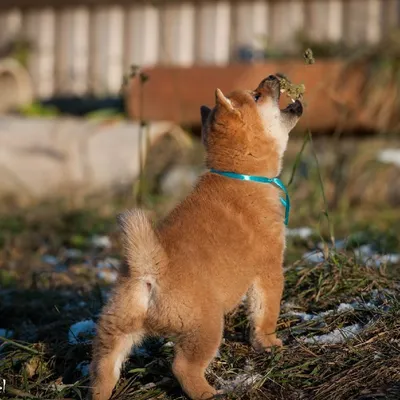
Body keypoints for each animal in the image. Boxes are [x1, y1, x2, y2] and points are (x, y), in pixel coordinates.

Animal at [90, 76, 304, 400]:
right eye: (257, 95)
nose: (272, 77)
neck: (240, 175)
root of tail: (150, 271)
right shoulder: (268, 270)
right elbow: (265, 314)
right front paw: (269, 344)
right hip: (206, 328)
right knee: (183, 368)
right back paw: (210, 393)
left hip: (115, 331)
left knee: (103, 372)